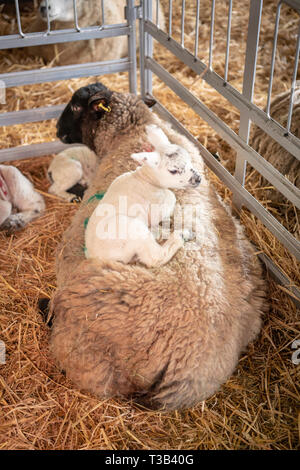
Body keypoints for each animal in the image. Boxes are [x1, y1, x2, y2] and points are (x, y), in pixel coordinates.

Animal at [84, 124, 202, 268]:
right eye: (173, 171)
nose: (198, 179)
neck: (145, 178)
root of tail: (98, 258)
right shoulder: (159, 207)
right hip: (134, 230)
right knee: (156, 257)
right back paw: (183, 234)